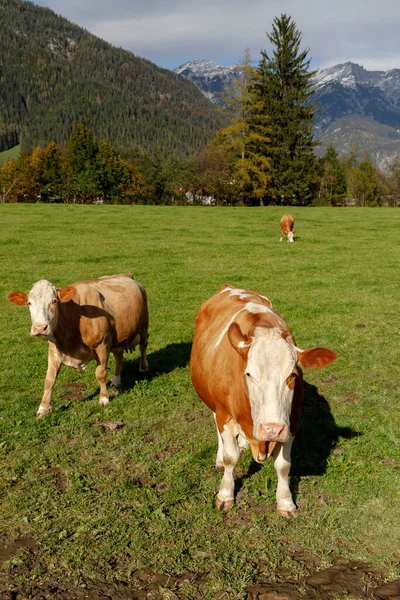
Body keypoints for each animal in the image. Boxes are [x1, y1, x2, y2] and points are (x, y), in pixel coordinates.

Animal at [7, 274, 148, 418]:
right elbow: (49, 380)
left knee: (143, 345)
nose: (40, 328)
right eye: (29, 303)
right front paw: (43, 408)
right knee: (119, 357)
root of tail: (126, 275)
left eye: (54, 301)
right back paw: (116, 381)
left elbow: (100, 374)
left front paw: (104, 398)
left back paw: (143, 367)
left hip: (143, 325)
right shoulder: (54, 351)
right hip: (118, 337)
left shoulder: (102, 345)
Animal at [191, 284, 338, 516]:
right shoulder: (224, 413)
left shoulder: (292, 422)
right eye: (249, 374)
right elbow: (231, 457)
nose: (271, 430)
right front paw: (225, 493)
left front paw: (285, 501)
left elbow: (284, 465)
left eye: (292, 375)